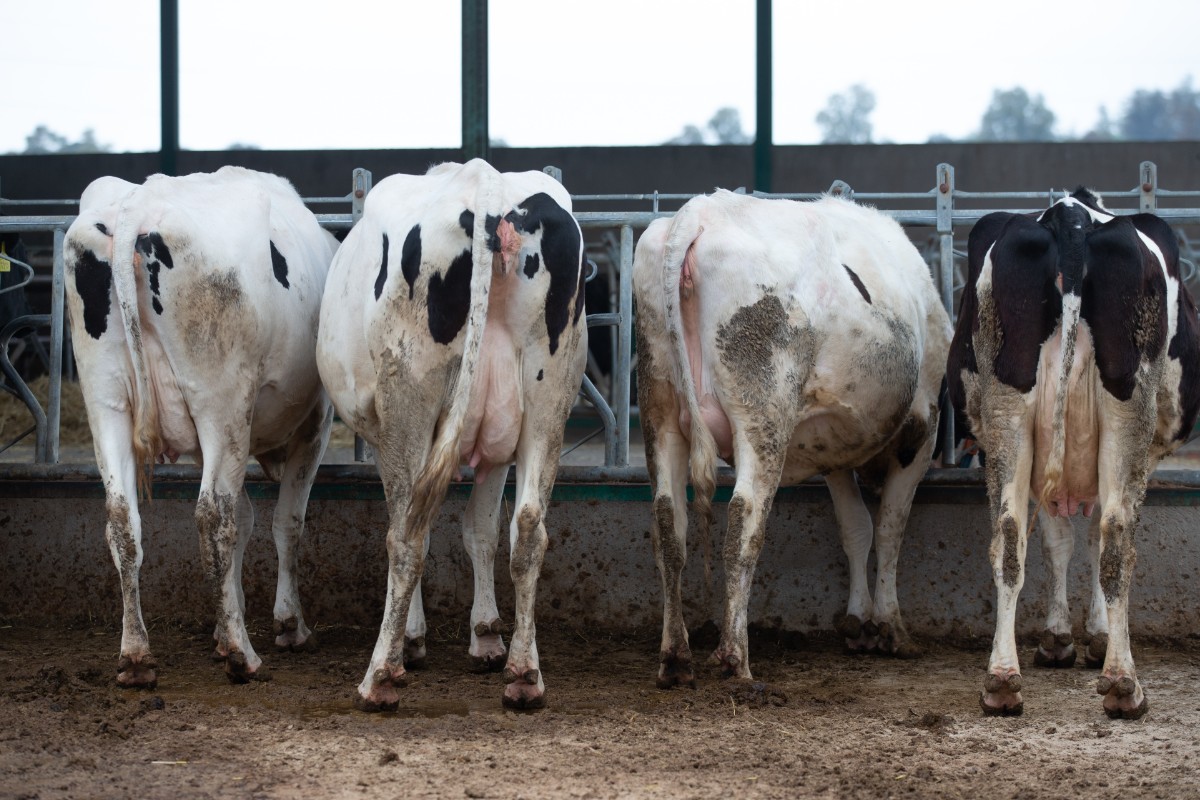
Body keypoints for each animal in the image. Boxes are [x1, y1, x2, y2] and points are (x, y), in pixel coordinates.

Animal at [63, 166, 338, 688]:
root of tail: (140, 203)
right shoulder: (314, 423)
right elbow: (286, 522)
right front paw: (287, 624)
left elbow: (248, 518)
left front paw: (228, 621)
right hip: (221, 405)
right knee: (213, 517)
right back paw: (241, 655)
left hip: (106, 400)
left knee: (122, 520)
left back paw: (136, 655)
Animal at [316, 159, 587, 711]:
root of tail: (486, 185)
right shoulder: (498, 447)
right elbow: (481, 530)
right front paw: (487, 636)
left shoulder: (387, 434)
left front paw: (412, 638)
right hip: (549, 401)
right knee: (529, 529)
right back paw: (525, 674)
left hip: (409, 400)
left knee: (407, 535)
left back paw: (379, 676)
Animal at [634, 190, 951, 688]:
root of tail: (699, 212)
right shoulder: (920, 430)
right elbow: (890, 528)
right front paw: (891, 628)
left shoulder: (834, 447)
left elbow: (855, 527)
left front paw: (859, 623)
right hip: (763, 412)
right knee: (744, 520)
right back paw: (735, 658)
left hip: (659, 408)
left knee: (669, 525)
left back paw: (676, 657)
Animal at [947, 187, 1200, 719]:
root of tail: (1072, 216)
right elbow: (1084, 541)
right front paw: (1089, 637)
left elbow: (1056, 542)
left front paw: (1059, 636)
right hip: (1128, 409)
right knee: (1116, 539)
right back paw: (1123, 683)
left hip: (1009, 412)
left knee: (1009, 537)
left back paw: (1002, 679)